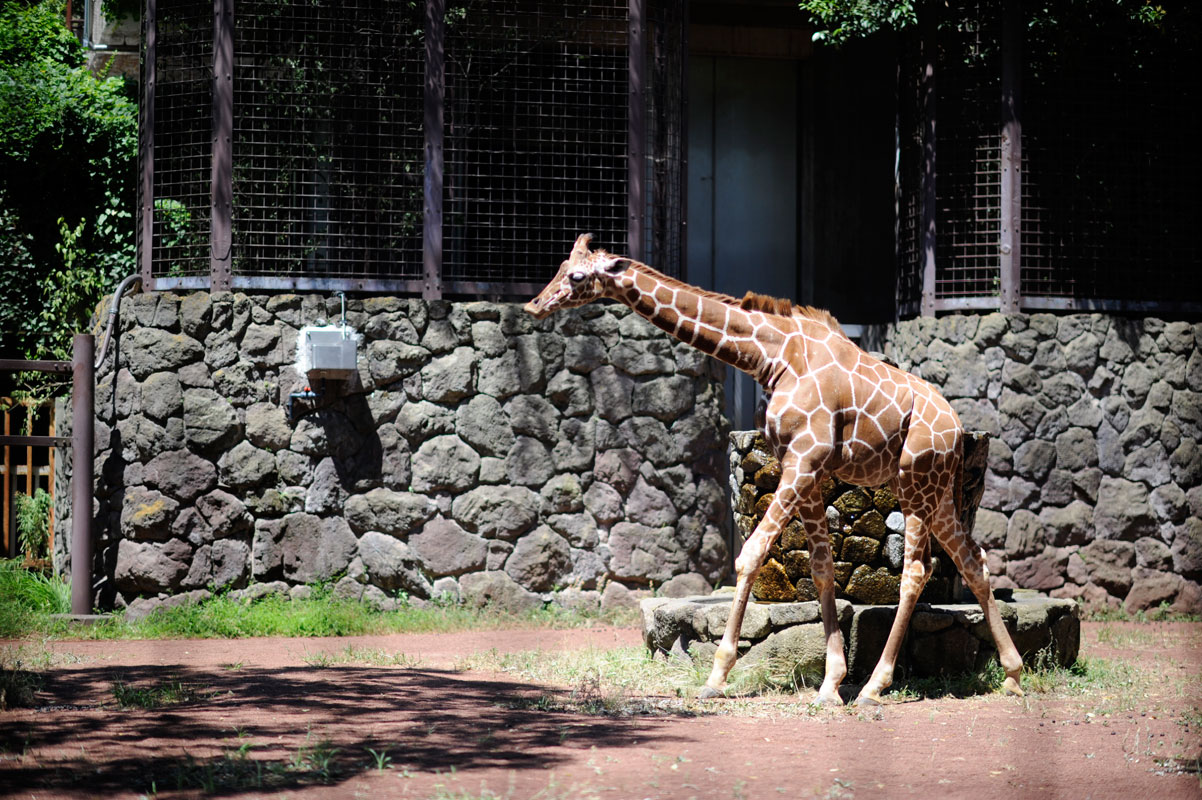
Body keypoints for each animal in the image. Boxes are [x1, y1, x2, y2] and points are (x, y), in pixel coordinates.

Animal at [526, 231, 1024, 706]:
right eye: (561, 266)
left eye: (576, 277)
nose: (534, 305)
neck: (774, 356)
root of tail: (956, 427)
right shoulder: (805, 468)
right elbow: (822, 568)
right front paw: (831, 684)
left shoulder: (806, 459)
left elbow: (750, 555)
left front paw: (716, 677)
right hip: (928, 489)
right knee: (961, 562)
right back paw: (1000, 676)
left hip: (918, 480)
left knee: (928, 569)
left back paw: (890, 685)